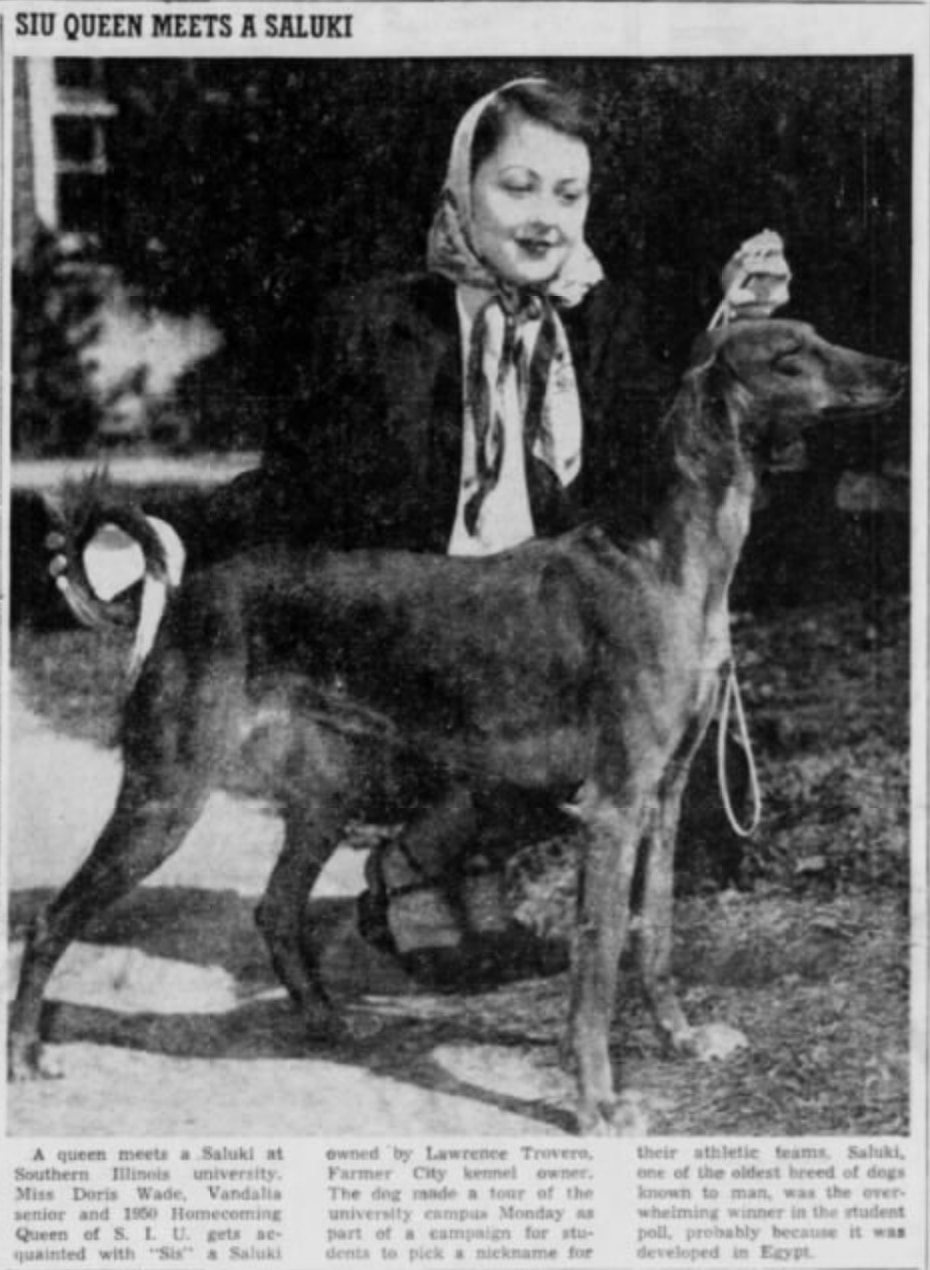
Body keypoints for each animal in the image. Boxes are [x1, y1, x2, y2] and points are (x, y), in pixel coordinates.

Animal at [9, 319, 904, 1134]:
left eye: (817, 333)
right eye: (791, 354)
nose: (897, 369)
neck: (667, 559)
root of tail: (184, 596)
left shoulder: (669, 795)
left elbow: (654, 936)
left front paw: (681, 1040)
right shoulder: (613, 808)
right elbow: (599, 959)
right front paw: (597, 1103)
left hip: (327, 795)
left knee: (275, 909)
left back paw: (326, 1019)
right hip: (165, 798)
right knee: (54, 919)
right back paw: (26, 1053)